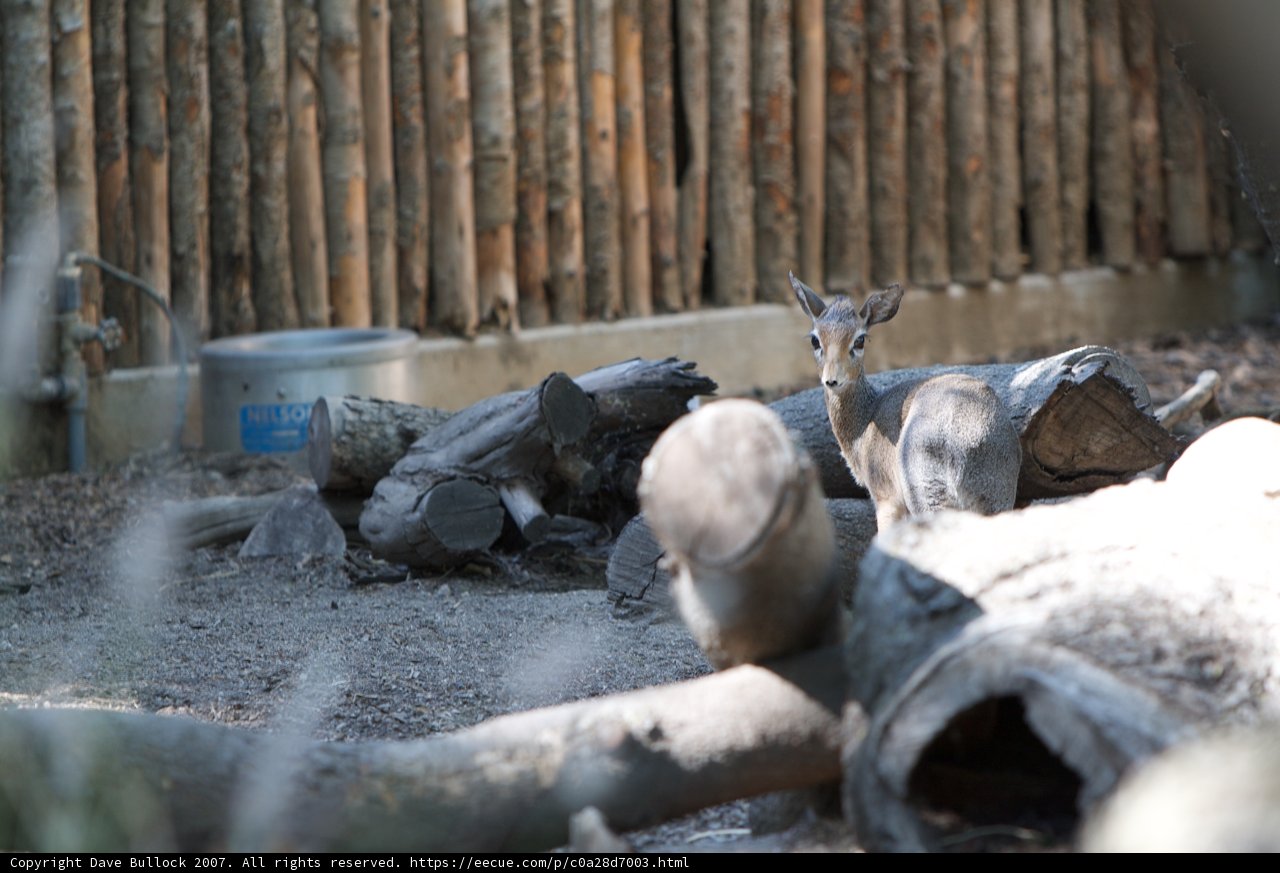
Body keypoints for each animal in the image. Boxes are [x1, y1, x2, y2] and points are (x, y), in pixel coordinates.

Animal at [791, 272, 1022, 532]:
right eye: (815, 340)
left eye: (860, 340)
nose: (832, 380)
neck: (865, 424)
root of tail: (969, 443)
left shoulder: (886, 498)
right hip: (995, 500)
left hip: (926, 495)